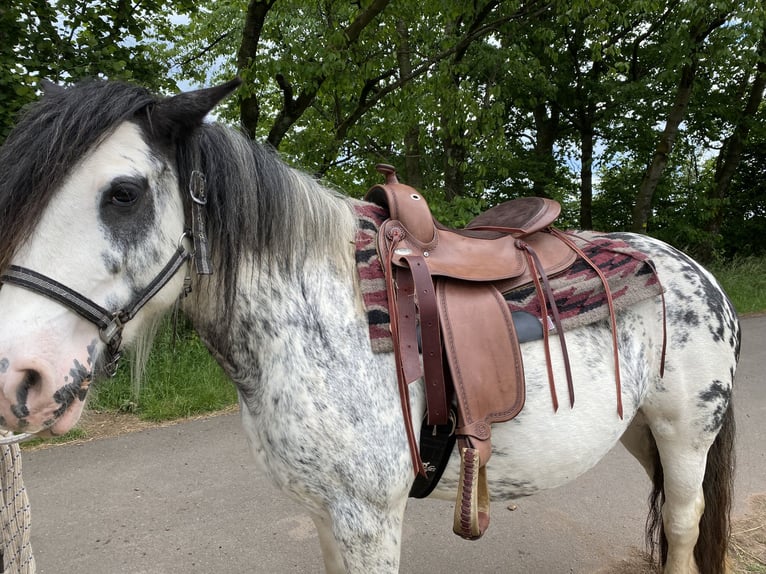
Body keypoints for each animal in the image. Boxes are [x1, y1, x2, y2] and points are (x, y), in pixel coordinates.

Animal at [0, 79, 740, 572]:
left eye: (123, 193)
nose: (17, 378)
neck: (323, 322)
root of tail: (693, 272)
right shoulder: (329, 516)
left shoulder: (368, 518)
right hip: (640, 431)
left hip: (687, 435)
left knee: (682, 525)